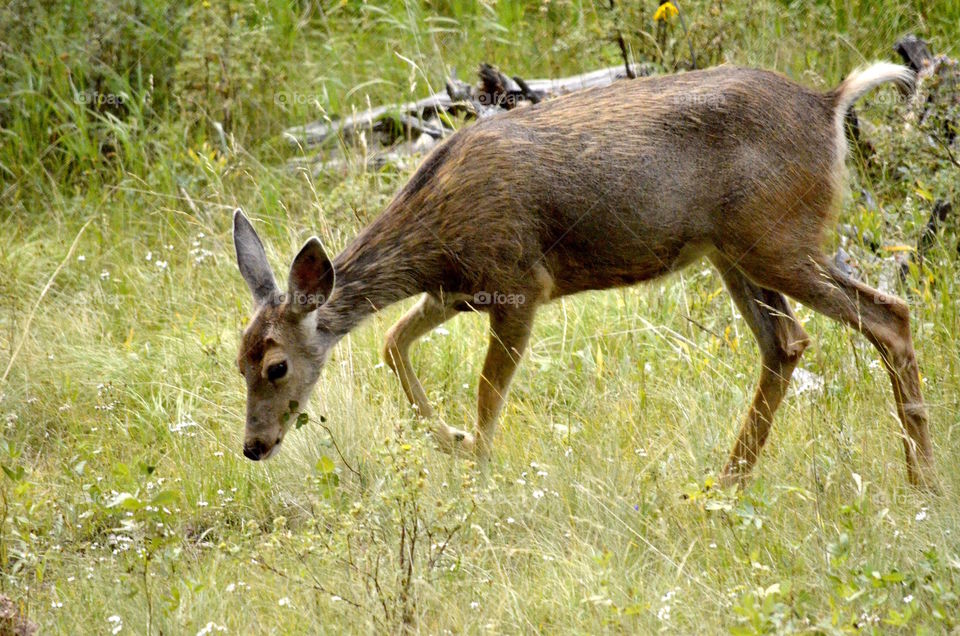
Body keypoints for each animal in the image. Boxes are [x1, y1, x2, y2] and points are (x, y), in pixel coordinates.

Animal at [233, 61, 937, 490]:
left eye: (276, 366)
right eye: (236, 362)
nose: (253, 447)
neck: (435, 230)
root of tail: (829, 104)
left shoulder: (520, 282)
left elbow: (487, 392)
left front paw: (478, 470)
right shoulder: (452, 292)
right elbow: (390, 343)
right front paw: (451, 439)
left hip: (779, 239)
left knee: (889, 314)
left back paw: (921, 479)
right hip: (734, 252)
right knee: (787, 343)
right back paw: (728, 479)